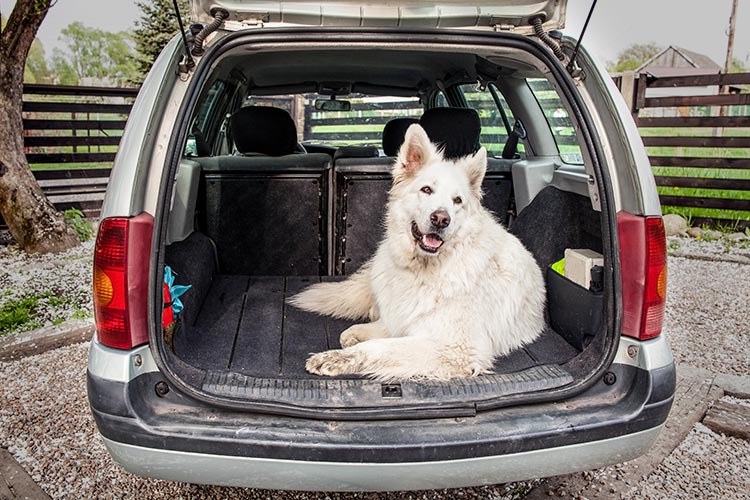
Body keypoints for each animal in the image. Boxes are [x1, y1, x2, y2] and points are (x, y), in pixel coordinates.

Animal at [292, 124, 548, 378]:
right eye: (426, 189)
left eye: (457, 200)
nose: (441, 219)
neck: (422, 270)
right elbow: (384, 329)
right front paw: (357, 334)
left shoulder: (454, 347)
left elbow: (381, 347)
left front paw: (338, 357)